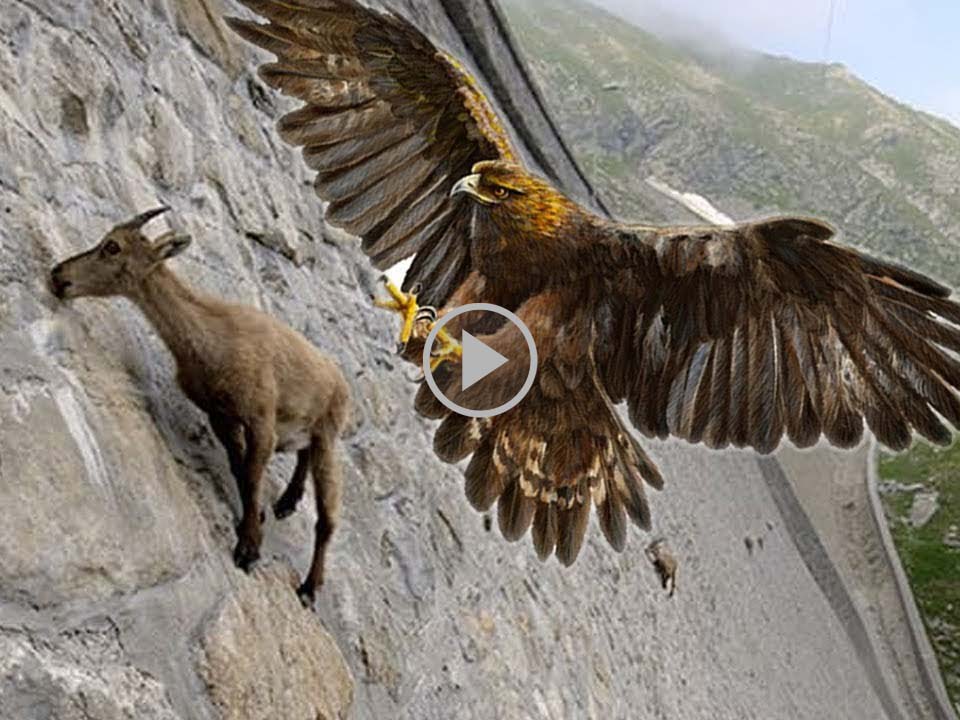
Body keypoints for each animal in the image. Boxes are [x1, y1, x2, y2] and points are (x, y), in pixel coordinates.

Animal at [49, 207, 350, 605]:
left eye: (111, 247)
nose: (59, 275)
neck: (212, 338)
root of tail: (340, 379)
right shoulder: (221, 416)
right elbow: (240, 470)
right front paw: (253, 520)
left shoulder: (260, 419)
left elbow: (252, 475)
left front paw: (249, 549)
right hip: (300, 431)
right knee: (302, 456)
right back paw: (287, 502)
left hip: (328, 434)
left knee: (327, 519)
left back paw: (309, 588)